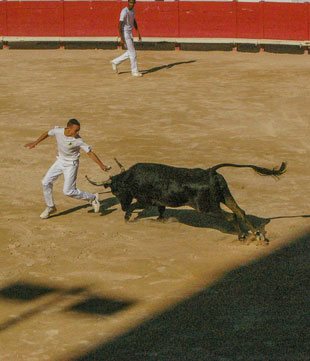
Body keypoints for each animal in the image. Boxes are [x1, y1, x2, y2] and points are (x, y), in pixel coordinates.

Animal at [86, 162, 286, 243]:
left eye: (116, 191)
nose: (122, 207)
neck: (130, 178)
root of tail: (209, 171)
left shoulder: (145, 201)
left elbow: (138, 206)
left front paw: (128, 218)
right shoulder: (158, 201)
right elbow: (161, 210)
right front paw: (160, 220)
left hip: (208, 207)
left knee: (230, 217)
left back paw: (242, 236)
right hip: (226, 196)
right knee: (240, 211)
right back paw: (258, 235)